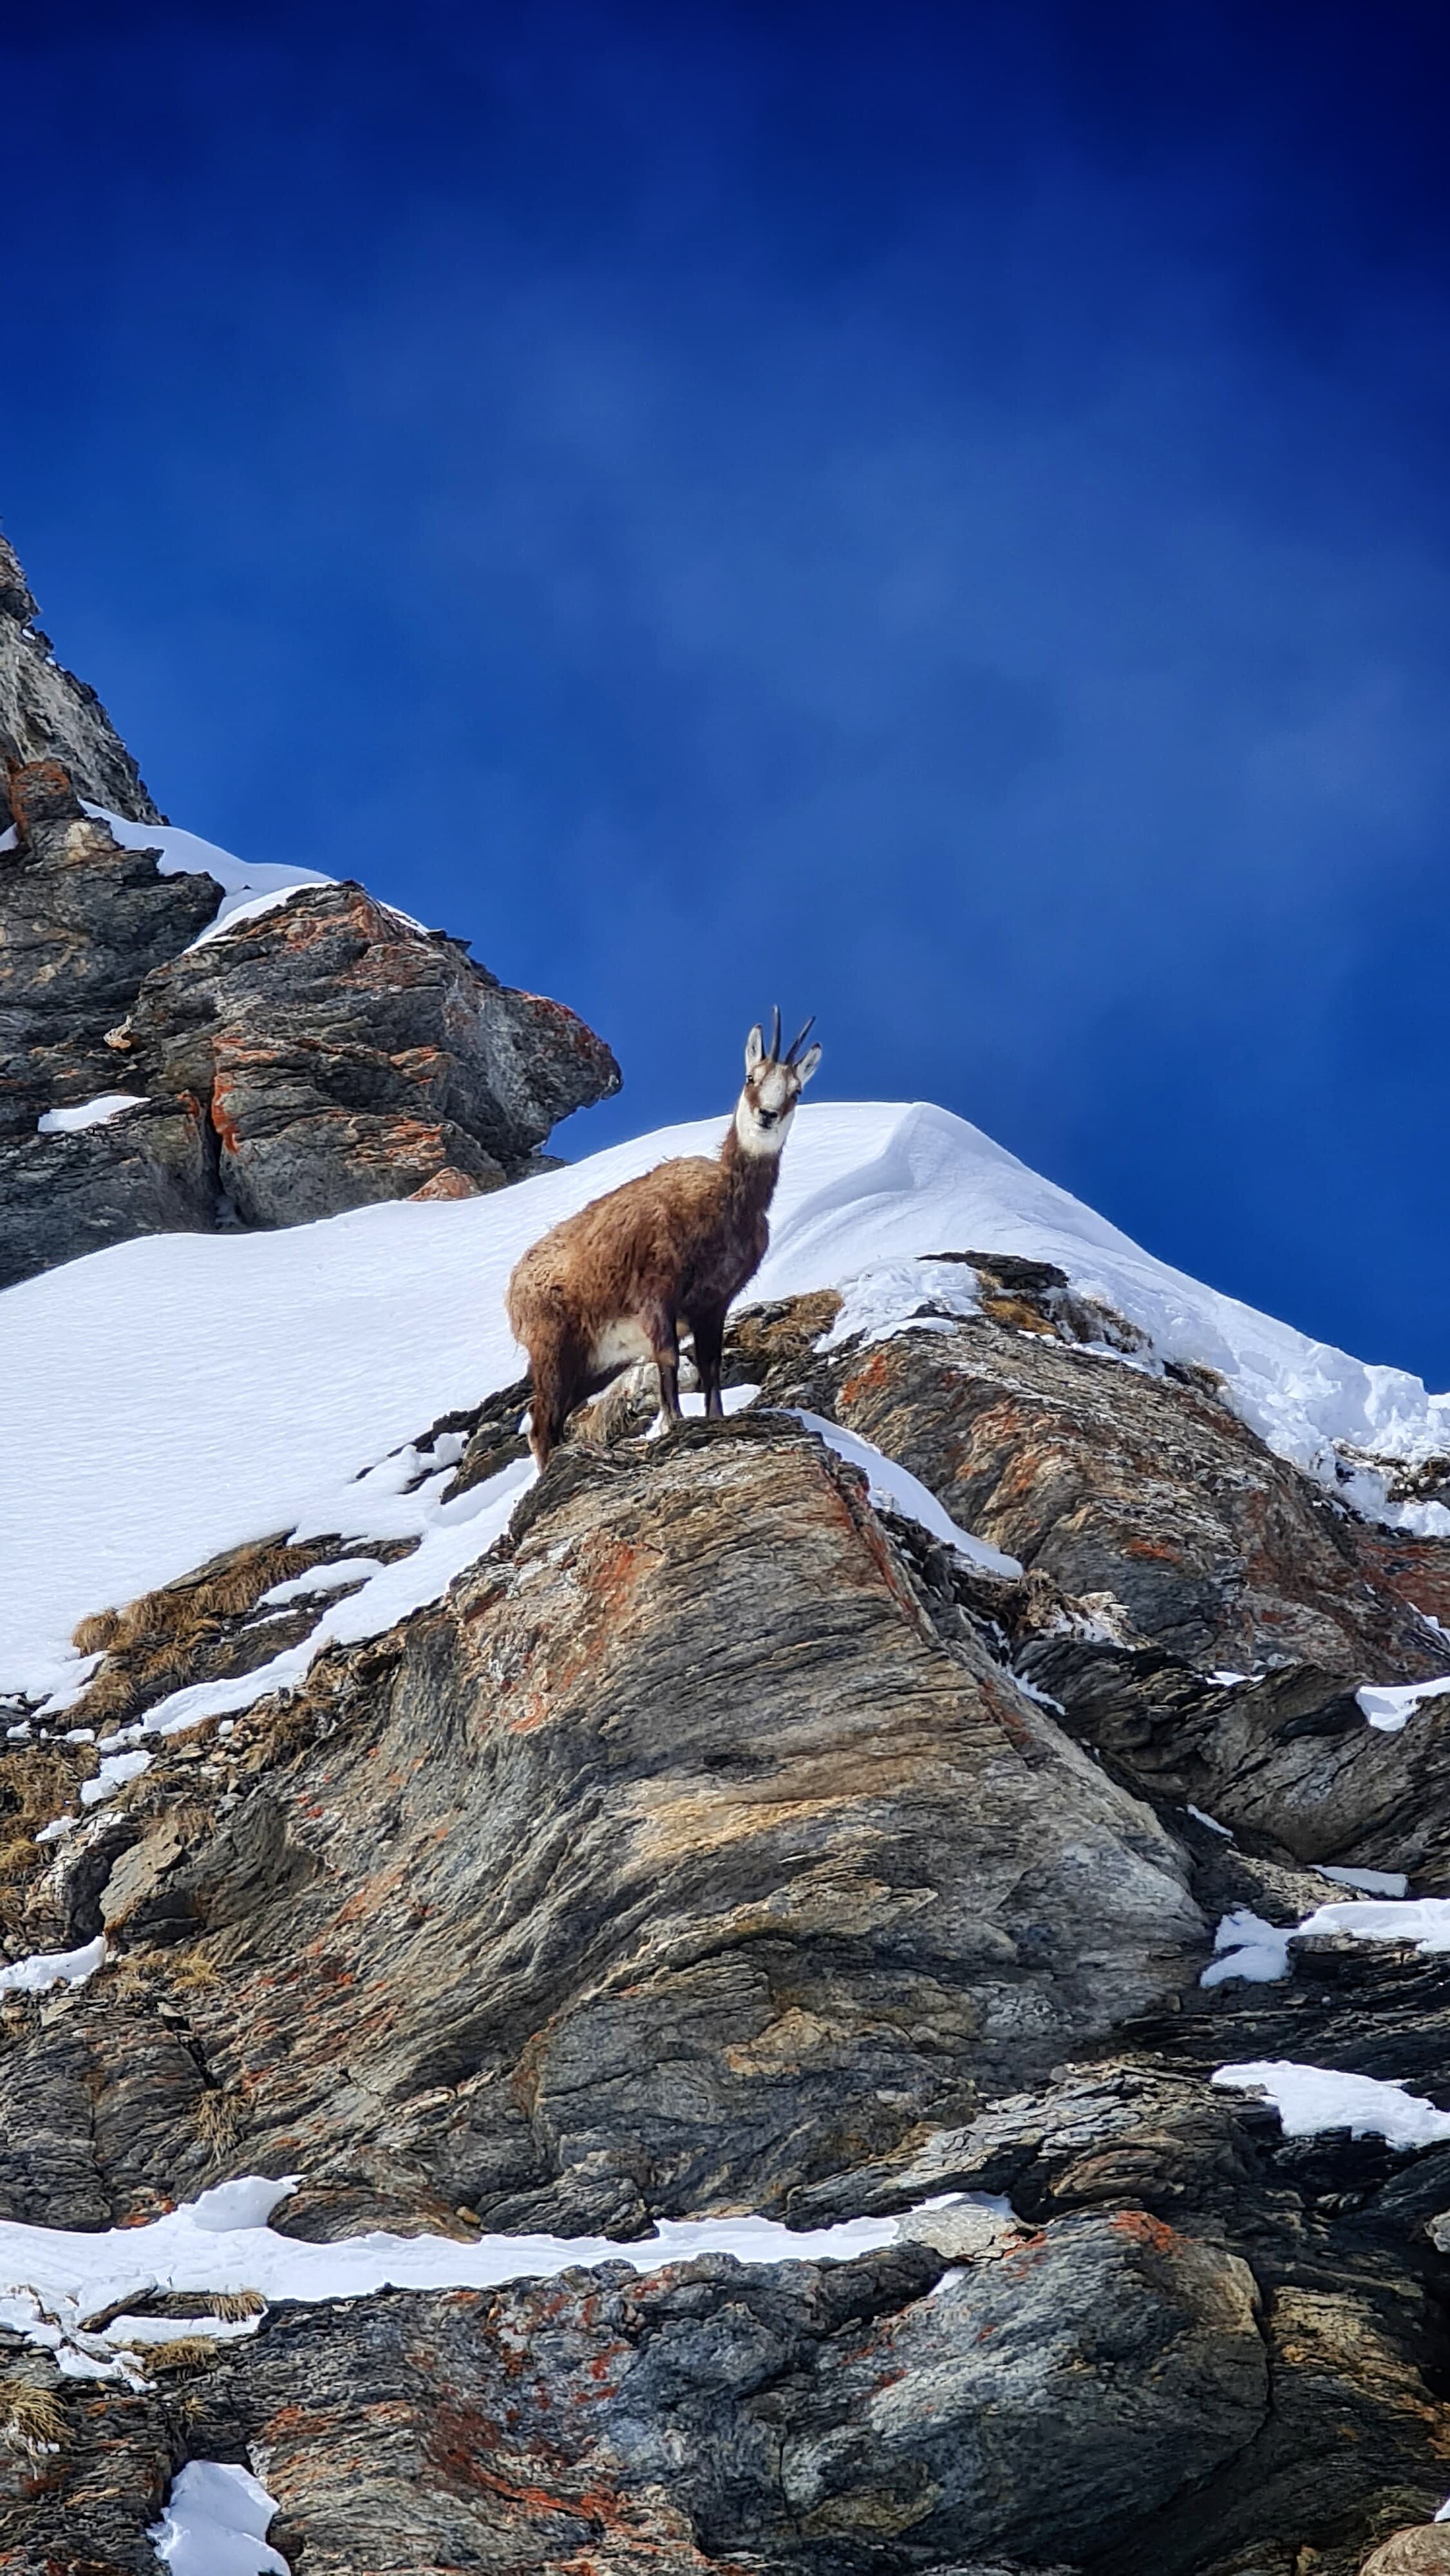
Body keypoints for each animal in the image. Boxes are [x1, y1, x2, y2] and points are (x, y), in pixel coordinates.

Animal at [506, 1010, 822, 1469]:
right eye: (751, 1077)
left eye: (796, 1090)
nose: (767, 1115)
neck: (725, 1202)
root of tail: (514, 1286)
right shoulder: (657, 1297)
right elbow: (668, 1358)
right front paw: (674, 1424)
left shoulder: (714, 1304)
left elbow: (711, 1367)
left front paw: (713, 1420)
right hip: (553, 1347)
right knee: (541, 1422)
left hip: (596, 1361)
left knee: (555, 1418)